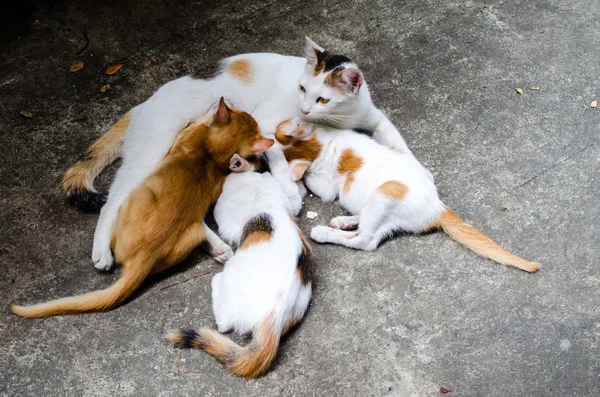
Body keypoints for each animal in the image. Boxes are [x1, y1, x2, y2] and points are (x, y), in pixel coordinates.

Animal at [10, 100, 274, 318]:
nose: (229, 100)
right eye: (242, 113)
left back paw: (102, 253)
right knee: (197, 226)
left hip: (135, 193)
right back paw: (218, 249)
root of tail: (143, 258)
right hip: (186, 233)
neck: (211, 151)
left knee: (110, 207)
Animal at [59, 37, 432, 272]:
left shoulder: (373, 116)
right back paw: (102, 252)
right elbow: (278, 155)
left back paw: (217, 246)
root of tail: (142, 104)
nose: (304, 108)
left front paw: (420, 172)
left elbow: (395, 140)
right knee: (114, 201)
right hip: (150, 155)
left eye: (323, 99)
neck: (340, 119)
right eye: (301, 89)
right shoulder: (267, 124)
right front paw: (291, 190)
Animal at [274, 117, 540, 272]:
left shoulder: (328, 184)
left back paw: (324, 232)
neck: (321, 146)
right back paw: (344, 221)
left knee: (366, 240)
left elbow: (314, 181)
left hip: (386, 191)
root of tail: (438, 208)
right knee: (369, 229)